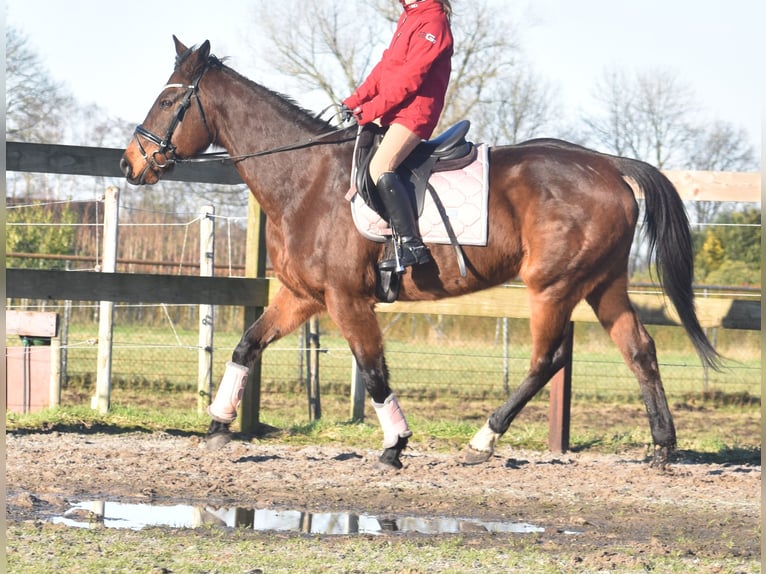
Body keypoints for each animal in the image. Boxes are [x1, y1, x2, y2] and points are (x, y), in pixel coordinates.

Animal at [120, 38, 720, 472]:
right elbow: (246, 346)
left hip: (553, 286)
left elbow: (374, 372)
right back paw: (662, 447)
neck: (303, 180)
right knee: (639, 350)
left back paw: (482, 441)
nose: (131, 163)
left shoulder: (347, 299)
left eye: (170, 101)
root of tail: (609, 166)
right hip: (602, 283)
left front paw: (395, 445)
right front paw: (219, 425)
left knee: (546, 361)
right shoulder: (301, 296)